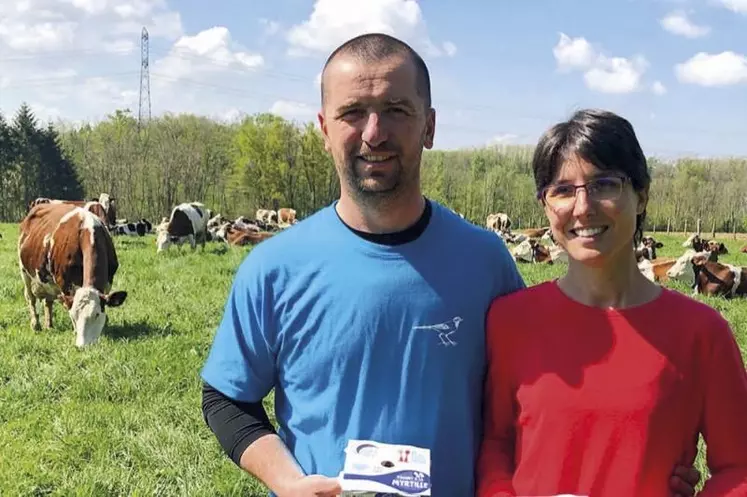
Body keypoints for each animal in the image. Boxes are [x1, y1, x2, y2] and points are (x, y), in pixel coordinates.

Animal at [17, 202, 127, 344]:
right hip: (24, 271)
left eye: (96, 314)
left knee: (48, 301)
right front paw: (75, 330)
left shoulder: (108, 281)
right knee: (31, 298)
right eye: (74, 315)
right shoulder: (65, 283)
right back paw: (36, 325)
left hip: (48, 281)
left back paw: (49, 325)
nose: (82, 345)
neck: (87, 229)